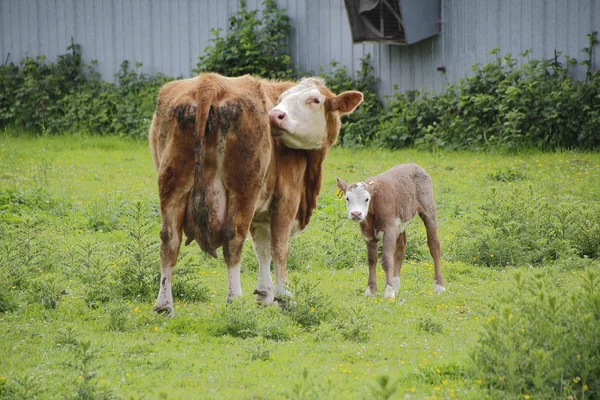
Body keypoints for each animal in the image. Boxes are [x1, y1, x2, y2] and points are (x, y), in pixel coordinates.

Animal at [150, 73, 366, 314]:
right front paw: (283, 296)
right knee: (233, 239)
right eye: (281, 99)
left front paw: (264, 294)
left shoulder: (260, 213)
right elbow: (279, 247)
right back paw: (235, 299)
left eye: (315, 100)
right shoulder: (286, 198)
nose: (274, 115)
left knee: (169, 239)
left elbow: (262, 250)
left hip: (173, 186)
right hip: (243, 190)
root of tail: (209, 83)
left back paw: (164, 305)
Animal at [338, 163, 446, 300]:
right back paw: (396, 284)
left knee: (434, 245)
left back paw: (439, 286)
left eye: (367, 199)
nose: (356, 214)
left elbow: (387, 260)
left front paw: (388, 291)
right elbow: (372, 260)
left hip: (428, 208)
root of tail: (414, 165)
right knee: (401, 247)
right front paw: (371, 290)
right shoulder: (368, 233)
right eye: (347, 198)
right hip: (400, 223)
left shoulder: (389, 229)